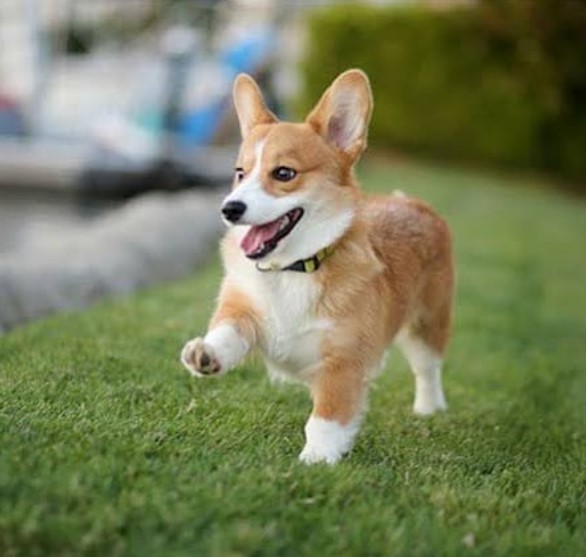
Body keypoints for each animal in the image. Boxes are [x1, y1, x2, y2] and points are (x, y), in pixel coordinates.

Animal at [180, 67, 454, 462]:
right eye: (240, 173)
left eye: (283, 173)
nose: (229, 209)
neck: (293, 268)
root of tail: (413, 203)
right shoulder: (243, 309)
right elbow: (227, 332)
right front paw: (206, 353)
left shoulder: (342, 363)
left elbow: (327, 418)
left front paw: (316, 460)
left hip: (427, 324)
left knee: (427, 368)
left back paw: (430, 409)